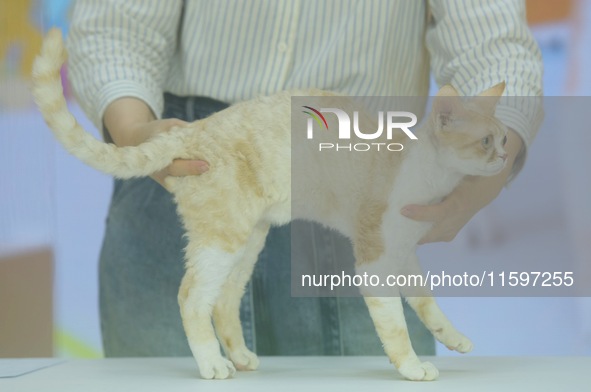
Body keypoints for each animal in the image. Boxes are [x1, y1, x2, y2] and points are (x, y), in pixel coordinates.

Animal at [31, 29, 508, 382]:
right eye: (486, 141)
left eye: (503, 137)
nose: (506, 156)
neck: (425, 175)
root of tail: (192, 131)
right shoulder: (374, 259)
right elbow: (396, 325)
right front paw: (411, 367)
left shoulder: (405, 254)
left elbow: (427, 305)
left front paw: (453, 338)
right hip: (221, 240)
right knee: (191, 298)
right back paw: (212, 364)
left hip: (248, 241)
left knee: (223, 302)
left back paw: (241, 357)